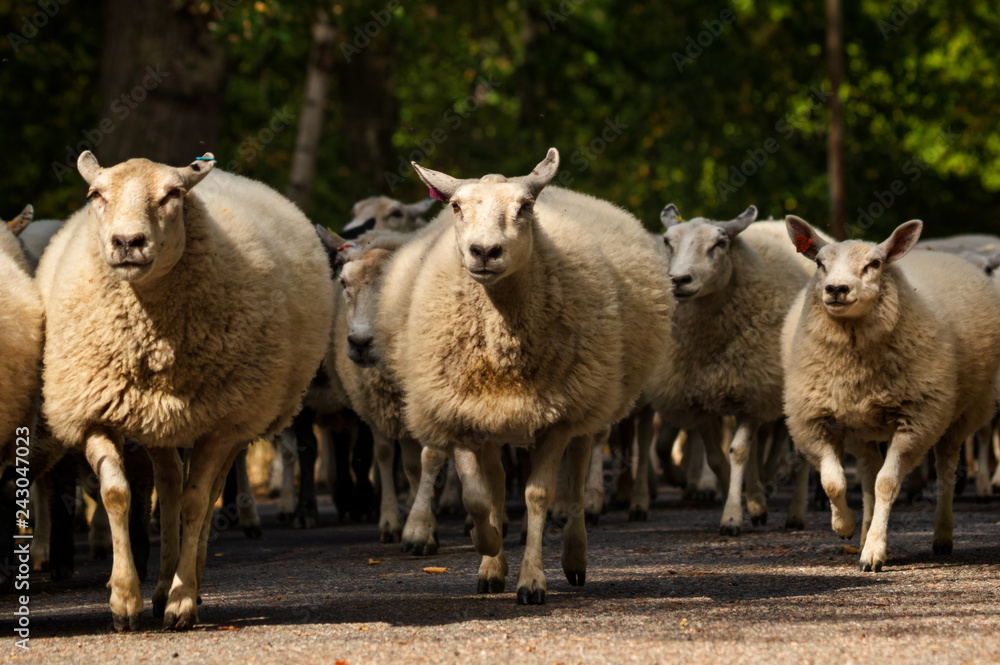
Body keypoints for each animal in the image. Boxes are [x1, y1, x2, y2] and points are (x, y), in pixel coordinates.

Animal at [35, 152, 333, 631]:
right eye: (95, 194)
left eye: (173, 195)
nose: (127, 242)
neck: (152, 334)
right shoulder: (96, 411)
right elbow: (118, 495)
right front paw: (125, 600)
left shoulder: (222, 424)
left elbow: (196, 504)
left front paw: (182, 602)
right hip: (157, 417)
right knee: (170, 483)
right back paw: (158, 587)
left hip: (240, 416)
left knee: (205, 493)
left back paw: (187, 580)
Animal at [375, 148, 674, 603]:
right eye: (455, 206)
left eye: (526, 207)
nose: (484, 251)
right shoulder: (462, 412)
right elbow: (478, 497)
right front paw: (487, 547)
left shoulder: (556, 418)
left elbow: (538, 494)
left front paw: (531, 580)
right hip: (498, 417)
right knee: (498, 482)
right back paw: (494, 560)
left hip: (588, 395)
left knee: (577, 474)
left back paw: (574, 557)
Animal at [643, 206, 818, 535]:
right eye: (667, 241)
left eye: (720, 243)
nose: (679, 280)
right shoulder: (701, 401)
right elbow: (717, 458)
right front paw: (735, 501)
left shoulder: (754, 390)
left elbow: (738, 452)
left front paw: (733, 517)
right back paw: (757, 500)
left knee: (798, 451)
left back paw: (796, 513)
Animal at [781, 216, 1000, 571]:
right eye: (819, 263)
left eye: (875, 264)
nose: (836, 289)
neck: (854, 365)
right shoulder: (815, 420)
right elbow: (835, 482)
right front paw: (845, 526)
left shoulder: (916, 421)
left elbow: (886, 484)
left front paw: (874, 553)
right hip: (863, 428)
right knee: (867, 477)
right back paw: (862, 533)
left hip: (961, 415)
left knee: (945, 471)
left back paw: (942, 535)